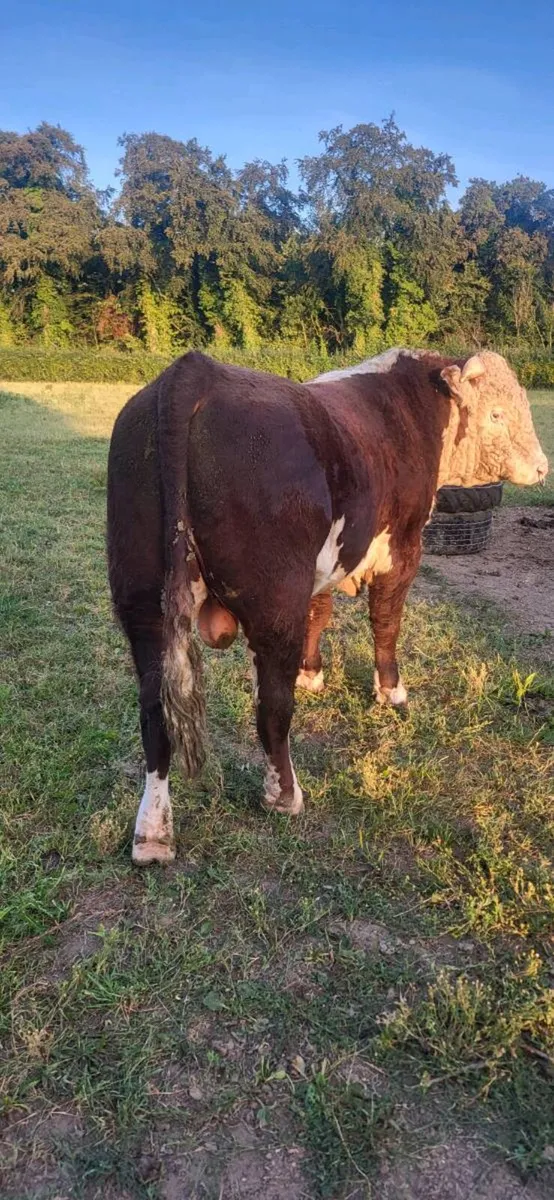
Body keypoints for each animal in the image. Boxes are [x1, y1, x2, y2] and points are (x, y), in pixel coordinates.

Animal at [107, 348, 548, 865]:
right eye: (496, 414)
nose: (542, 467)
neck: (413, 407)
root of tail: (193, 372)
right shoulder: (402, 549)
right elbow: (386, 622)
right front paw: (391, 692)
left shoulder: (320, 568)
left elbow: (320, 615)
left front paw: (311, 673)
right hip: (274, 601)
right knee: (272, 706)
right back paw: (284, 795)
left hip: (145, 604)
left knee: (155, 712)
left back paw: (153, 834)